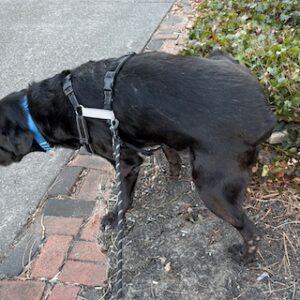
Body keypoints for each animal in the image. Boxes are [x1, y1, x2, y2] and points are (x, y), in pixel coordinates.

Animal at [0, 51, 276, 262]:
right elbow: (169, 151)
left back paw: (245, 258)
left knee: (251, 232)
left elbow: (124, 196)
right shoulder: (158, 132)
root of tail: (264, 114)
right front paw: (172, 172)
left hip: (211, 188)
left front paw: (115, 216)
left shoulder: (126, 162)